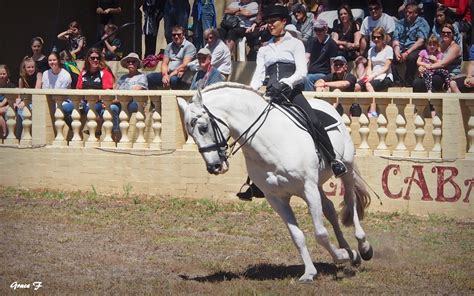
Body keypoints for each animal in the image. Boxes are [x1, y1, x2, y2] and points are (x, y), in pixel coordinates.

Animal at [176, 82, 372, 284]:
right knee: (330, 209)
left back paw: (363, 247)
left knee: (351, 202)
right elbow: (297, 236)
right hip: (317, 183)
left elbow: (320, 233)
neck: (270, 142)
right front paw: (310, 272)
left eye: (204, 127)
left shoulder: (308, 188)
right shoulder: (276, 198)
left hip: (346, 169)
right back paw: (352, 253)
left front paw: (341, 256)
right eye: (190, 133)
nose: (214, 166)